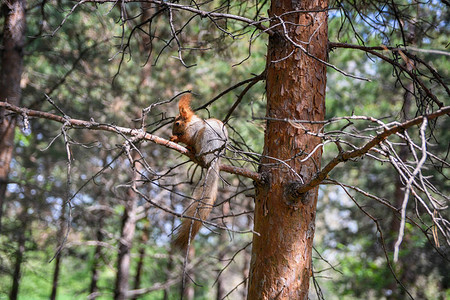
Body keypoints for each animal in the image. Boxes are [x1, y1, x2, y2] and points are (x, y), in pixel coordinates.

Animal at [170, 92, 229, 250]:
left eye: (177, 123)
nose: (172, 132)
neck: (191, 123)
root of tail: (214, 158)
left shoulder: (191, 132)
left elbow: (186, 137)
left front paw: (174, 138)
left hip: (203, 138)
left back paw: (193, 151)